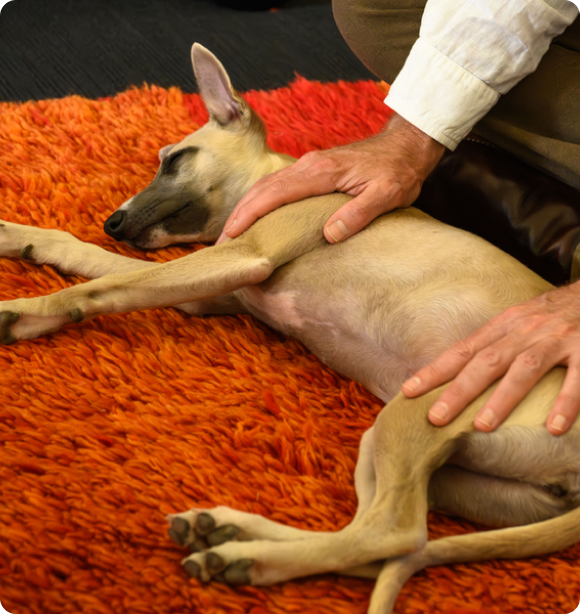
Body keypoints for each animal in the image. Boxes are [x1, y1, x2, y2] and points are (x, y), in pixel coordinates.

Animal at [1, 45, 580, 612]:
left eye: (174, 160)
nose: (113, 222)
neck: (269, 183)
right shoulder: (213, 287)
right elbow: (97, 264)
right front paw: (25, 239)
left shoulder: (243, 255)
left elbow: (103, 286)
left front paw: (26, 308)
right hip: (437, 466)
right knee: (376, 547)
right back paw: (228, 534)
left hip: (425, 407)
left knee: (393, 534)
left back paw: (246, 556)